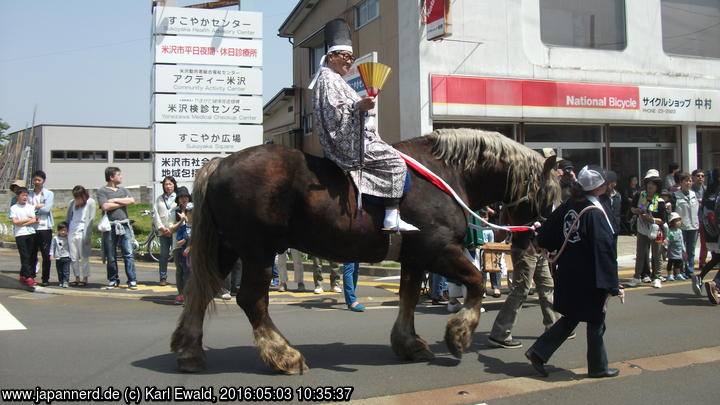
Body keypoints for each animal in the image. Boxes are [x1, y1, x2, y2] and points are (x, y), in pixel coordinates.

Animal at [172, 129, 560, 372]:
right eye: (549, 196)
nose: (537, 243)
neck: (446, 174)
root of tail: (219, 163)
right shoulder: (438, 249)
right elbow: (477, 281)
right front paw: (459, 334)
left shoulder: (414, 256)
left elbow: (408, 297)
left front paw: (408, 343)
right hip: (258, 252)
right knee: (252, 300)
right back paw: (283, 355)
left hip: (226, 248)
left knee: (201, 291)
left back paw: (189, 351)